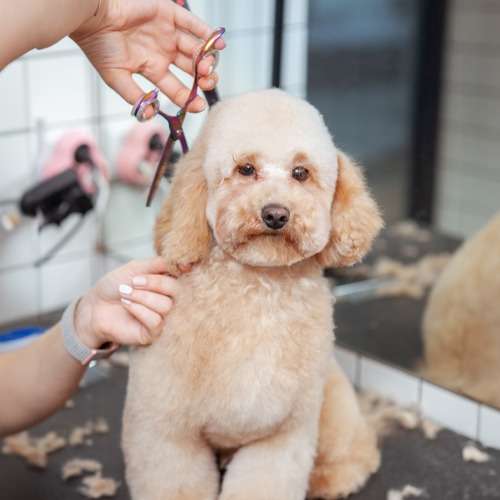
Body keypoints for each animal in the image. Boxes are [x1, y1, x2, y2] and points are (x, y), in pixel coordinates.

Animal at [122, 89, 382, 500]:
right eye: (245, 169)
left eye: (300, 173)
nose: (275, 214)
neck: (258, 290)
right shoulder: (165, 431)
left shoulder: (283, 435)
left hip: (332, 401)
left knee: (359, 452)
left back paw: (330, 478)